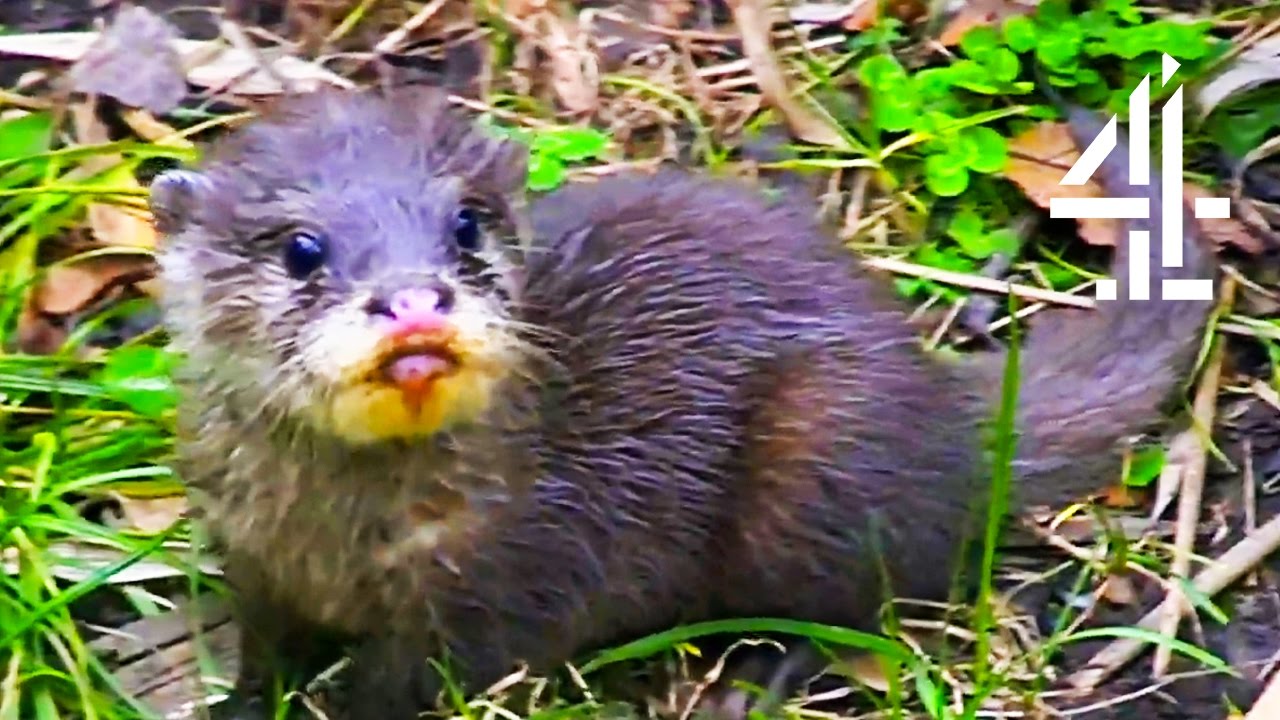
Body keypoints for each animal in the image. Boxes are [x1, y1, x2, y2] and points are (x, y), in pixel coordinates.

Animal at [148, 85, 1218, 720]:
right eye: (302, 248)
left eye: (467, 226)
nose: (413, 298)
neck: (345, 538)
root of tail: (938, 400)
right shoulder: (251, 559)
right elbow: (261, 655)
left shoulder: (506, 589)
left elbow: (405, 684)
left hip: (817, 451)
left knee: (875, 589)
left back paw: (766, 673)